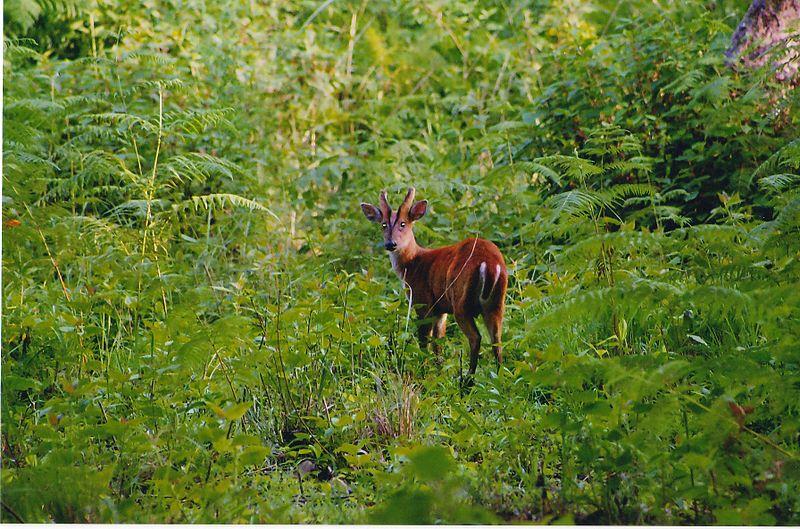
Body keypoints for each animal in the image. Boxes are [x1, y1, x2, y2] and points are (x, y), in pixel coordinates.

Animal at [360, 186, 506, 380]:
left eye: (403, 224)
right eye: (383, 224)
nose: (391, 244)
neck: (413, 264)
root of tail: (489, 264)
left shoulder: (422, 302)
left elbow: (424, 342)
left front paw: (424, 371)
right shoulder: (440, 310)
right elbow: (438, 342)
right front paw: (438, 371)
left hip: (461, 301)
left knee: (476, 338)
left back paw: (467, 380)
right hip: (497, 303)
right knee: (497, 340)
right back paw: (499, 376)